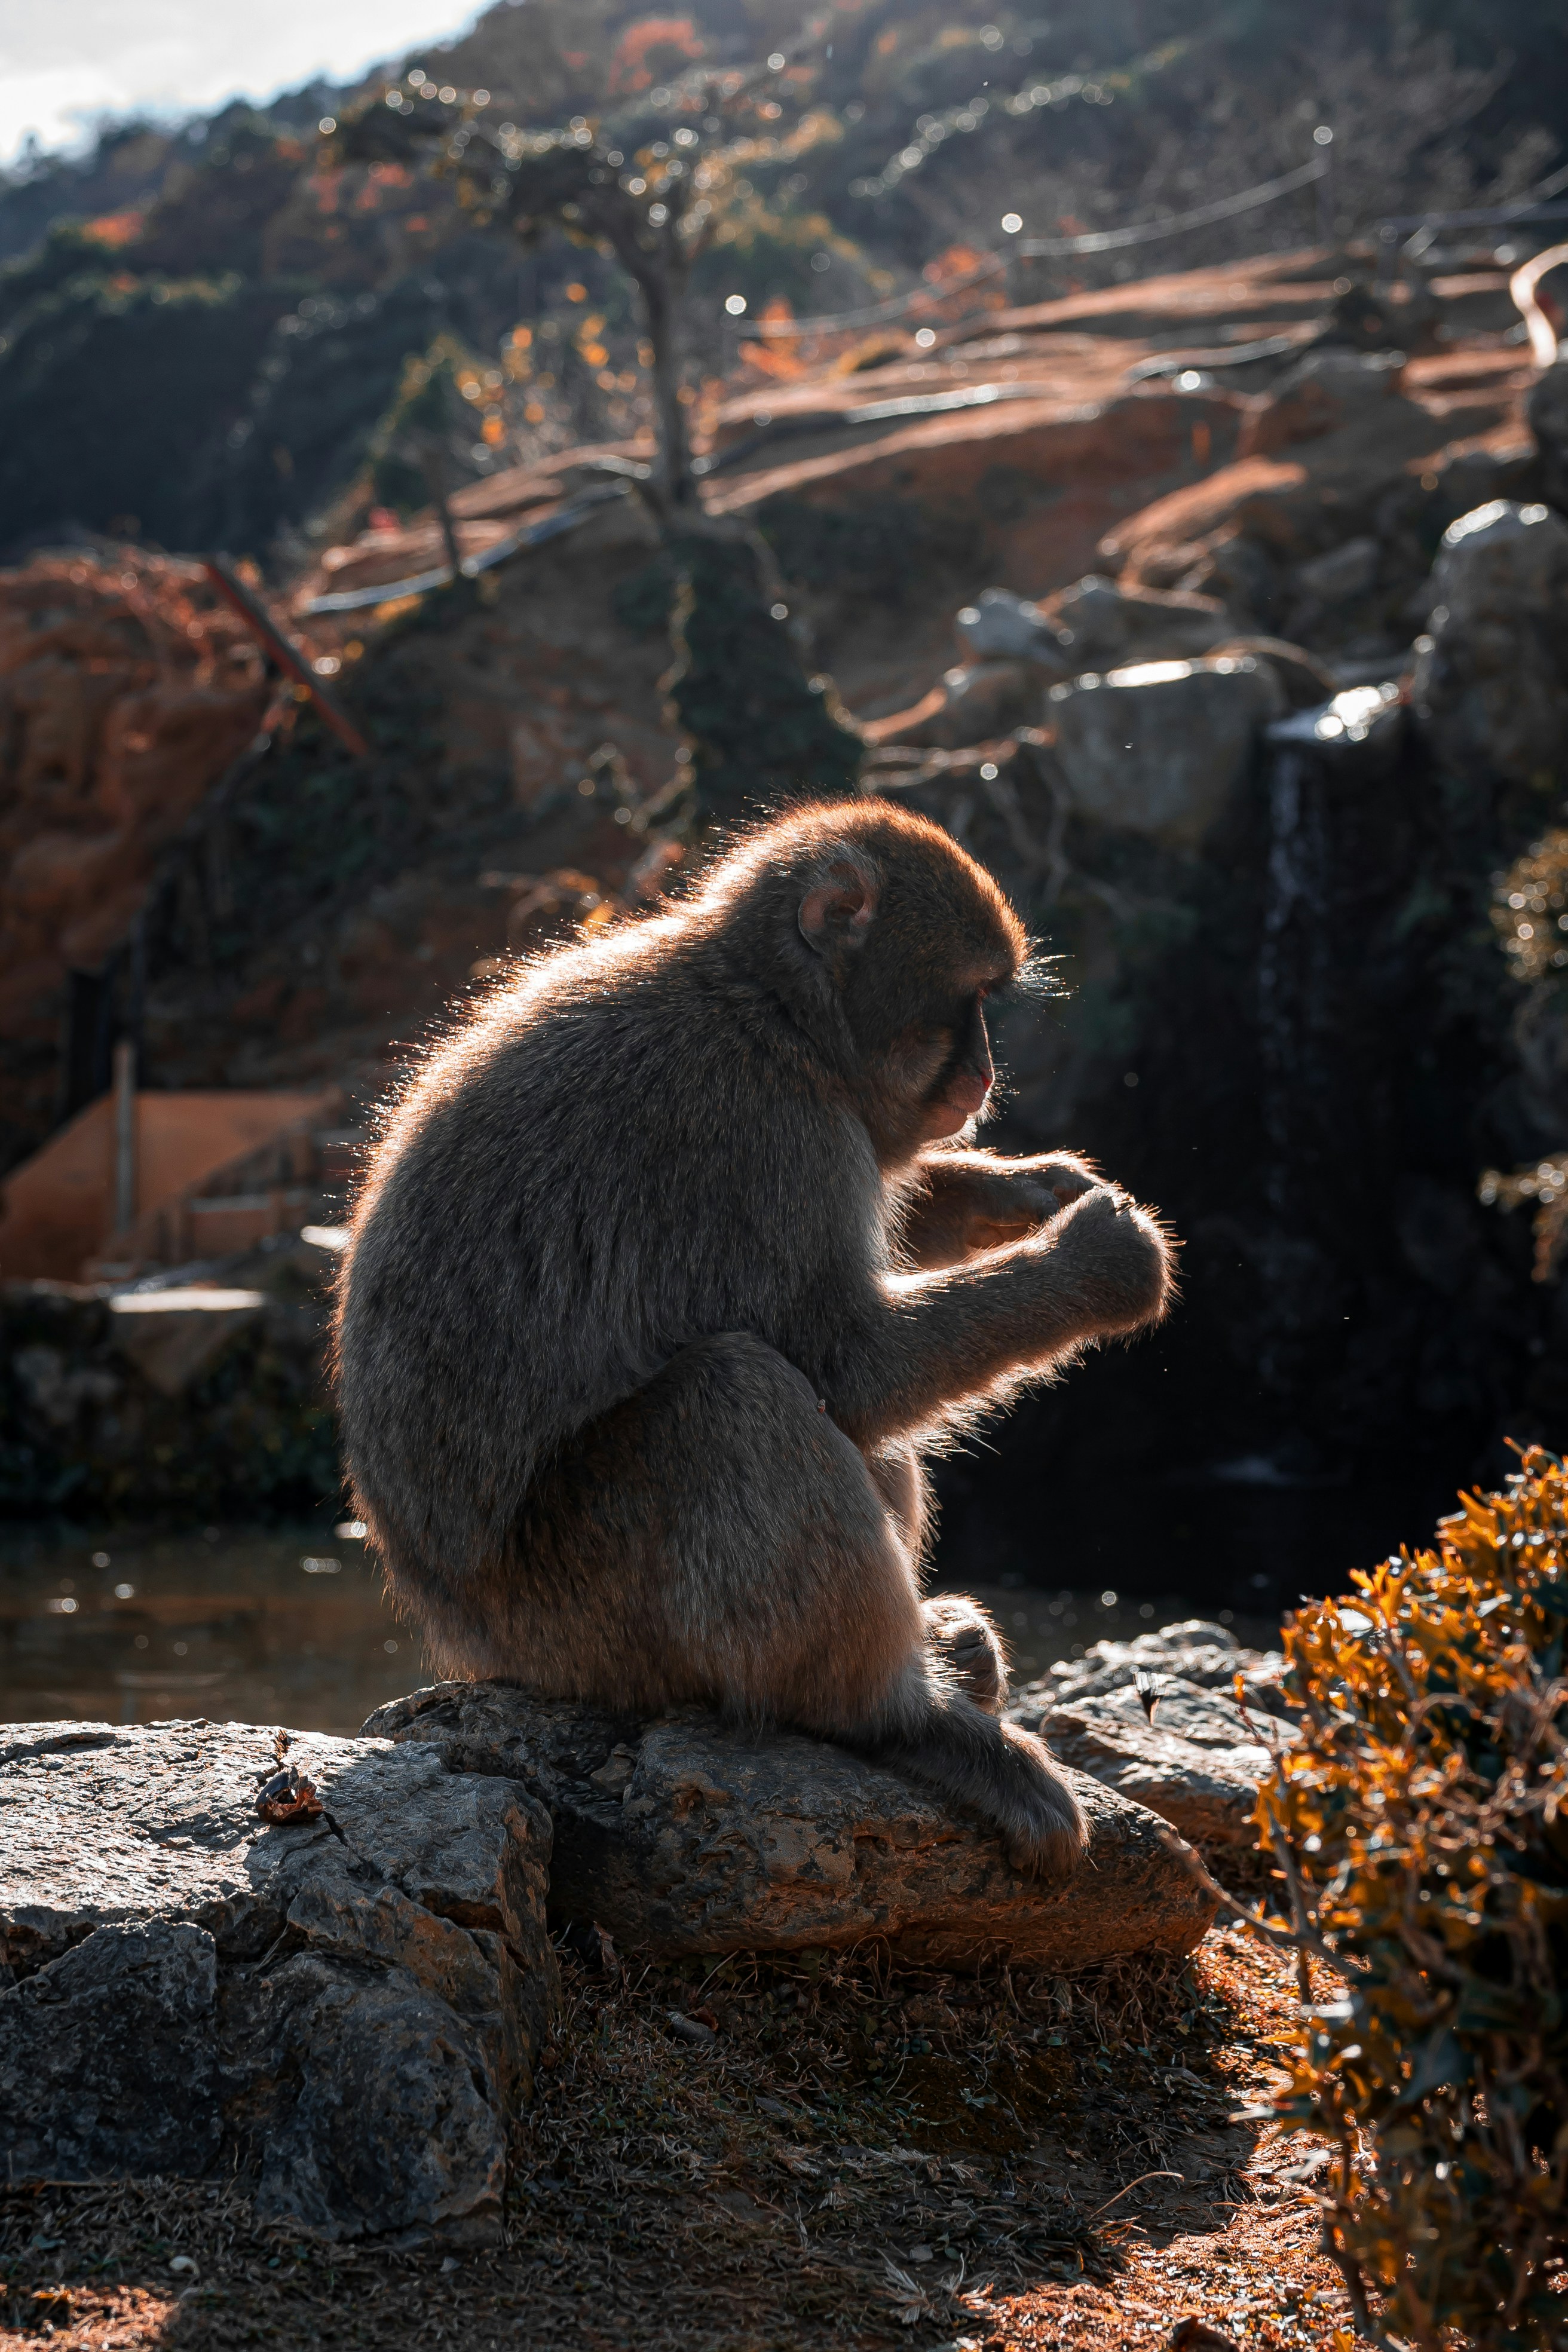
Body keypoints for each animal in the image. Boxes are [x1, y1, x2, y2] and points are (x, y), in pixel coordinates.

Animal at [333, 801, 1174, 1877]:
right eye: (969, 1000)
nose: (986, 1073)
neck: (771, 1013)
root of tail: (466, 1638)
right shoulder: (760, 1134)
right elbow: (846, 1362)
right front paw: (1096, 1262)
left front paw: (1030, 1186)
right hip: (581, 1625)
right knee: (729, 1397)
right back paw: (894, 1717)